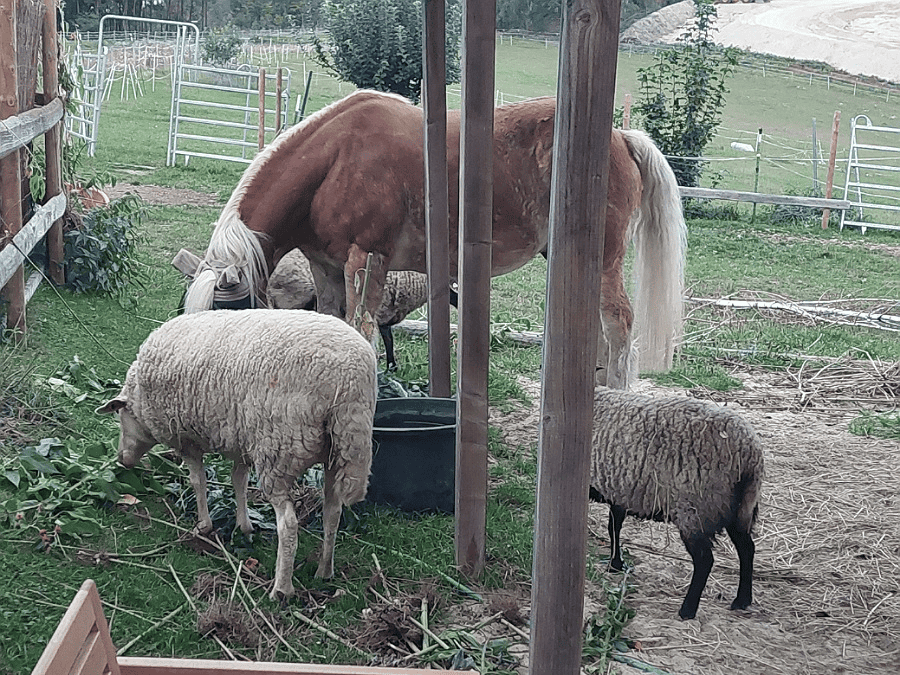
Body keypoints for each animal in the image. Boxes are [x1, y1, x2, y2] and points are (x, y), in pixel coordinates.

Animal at [96, 308, 378, 600]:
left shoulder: (186, 439)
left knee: (288, 524)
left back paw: (281, 588)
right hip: (340, 449)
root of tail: (350, 383)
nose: (122, 460)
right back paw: (324, 570)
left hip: (278, 449)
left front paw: (203, 525)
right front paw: (244, 525)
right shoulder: (241, 439)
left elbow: (198, 481)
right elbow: (238, 480)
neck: (142, 397)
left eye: (120, 416)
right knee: (332, 512)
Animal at [185, 88, 688, 390]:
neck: (335, 160)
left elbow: (362, 332)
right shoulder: (324, 267)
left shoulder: (366, 260)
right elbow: (333, 327)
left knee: (619, 322)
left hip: (603, 260)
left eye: (227, 317)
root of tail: (620, 137)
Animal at [592, 388, 768, 620]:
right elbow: (614, 527)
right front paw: (615, 564)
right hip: (737, 508)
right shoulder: (619, 489)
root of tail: (750, 455)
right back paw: (742, 600)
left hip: (696, 509)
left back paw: (688, 610)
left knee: (704, 561)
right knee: (747, 548)